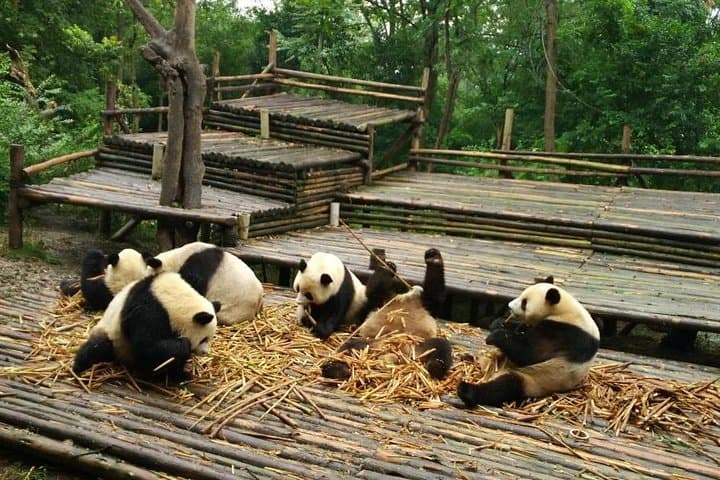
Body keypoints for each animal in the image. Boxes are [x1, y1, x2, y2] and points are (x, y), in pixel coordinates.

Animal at [73, 272, 219, 382]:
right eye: (203, 339)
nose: (205, 352)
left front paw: (179, 375)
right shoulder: (148, 310)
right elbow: (148, 346)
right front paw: (183, 347)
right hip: (114, 337)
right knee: (97, 347)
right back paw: (79, 367)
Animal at [321, 248, 453, 380]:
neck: (403, 297)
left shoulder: (423, 302)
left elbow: (434, 297)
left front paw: (434, 259)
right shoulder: (382, 300)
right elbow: (373, 291)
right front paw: (388, 267)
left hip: (417, 346)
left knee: (440, 346)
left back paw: (436, 366)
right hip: (372, 344)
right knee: (349, 348)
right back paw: (337, 369)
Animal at [457, 276, 600, 407]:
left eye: (524, 303)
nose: (509, 306)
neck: (563, 310)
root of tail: (492, 372)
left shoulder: (565, 334)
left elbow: (531, 353)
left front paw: (495, 336)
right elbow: (520, 330)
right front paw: (498, 323)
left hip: (534, 380)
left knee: (506, 386)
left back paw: (467, 391)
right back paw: (465, 358)